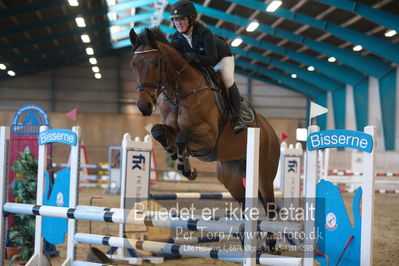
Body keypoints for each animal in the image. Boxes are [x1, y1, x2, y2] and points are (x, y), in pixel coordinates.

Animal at [130, 27, 280, 220]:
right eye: (133, 64)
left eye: (156, 63)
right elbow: (158, 131)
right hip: (230, 176)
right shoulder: (171, 128)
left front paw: (186, 167)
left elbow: (181, 138)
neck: (179, 92)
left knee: (270, 207)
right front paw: (176, 155)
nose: (144, 106)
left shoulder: (208, 136)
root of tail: (272, 132)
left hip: (264, 175)